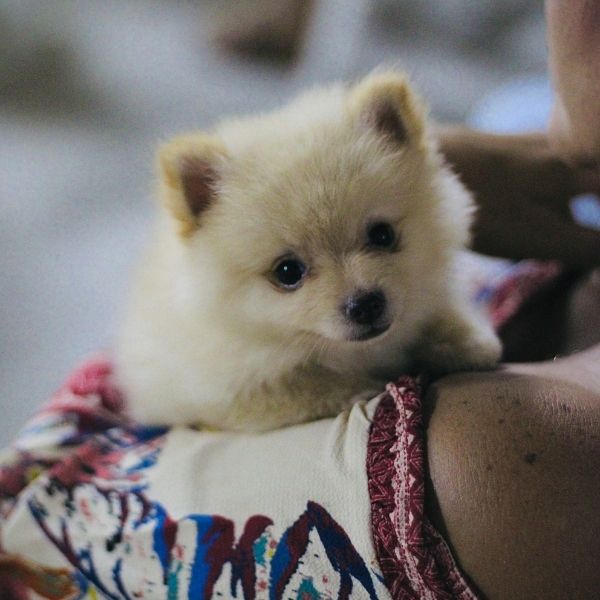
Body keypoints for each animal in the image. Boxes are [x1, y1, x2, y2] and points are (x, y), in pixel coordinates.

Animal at [116, 71, 501, 431]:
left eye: (382, 235)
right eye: (288, 272)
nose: (366, 304)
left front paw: (470, 343)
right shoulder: (221, 390)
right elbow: (300, 386)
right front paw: (360, 388)